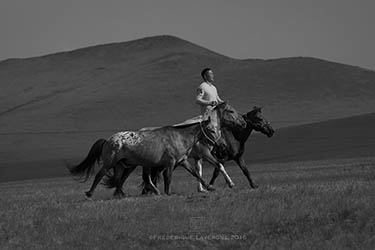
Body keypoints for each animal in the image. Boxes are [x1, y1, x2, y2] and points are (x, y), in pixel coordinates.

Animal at [69, 102, 248, 197]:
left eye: (217, 130)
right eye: (211, 130)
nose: (244, 123)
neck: (180, 136)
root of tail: (108, 140)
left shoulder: (183, 161)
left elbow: (196, 173)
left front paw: (208, 187)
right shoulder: (174, 162)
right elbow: (169, 178)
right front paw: (168, 193)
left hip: (125, 164)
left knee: (122, 179)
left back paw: (126, 194)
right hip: (111, 163)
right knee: (100, 175)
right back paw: (90, 193)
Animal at [104, 106, 274, 194]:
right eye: (259, 119)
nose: (271, 131)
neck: (231, 136)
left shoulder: (234, 157)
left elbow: (244, 170)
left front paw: (253, 185)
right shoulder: (211, 155)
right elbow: (218, 169)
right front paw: (226, 184)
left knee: (144, 177)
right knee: (132, 176)